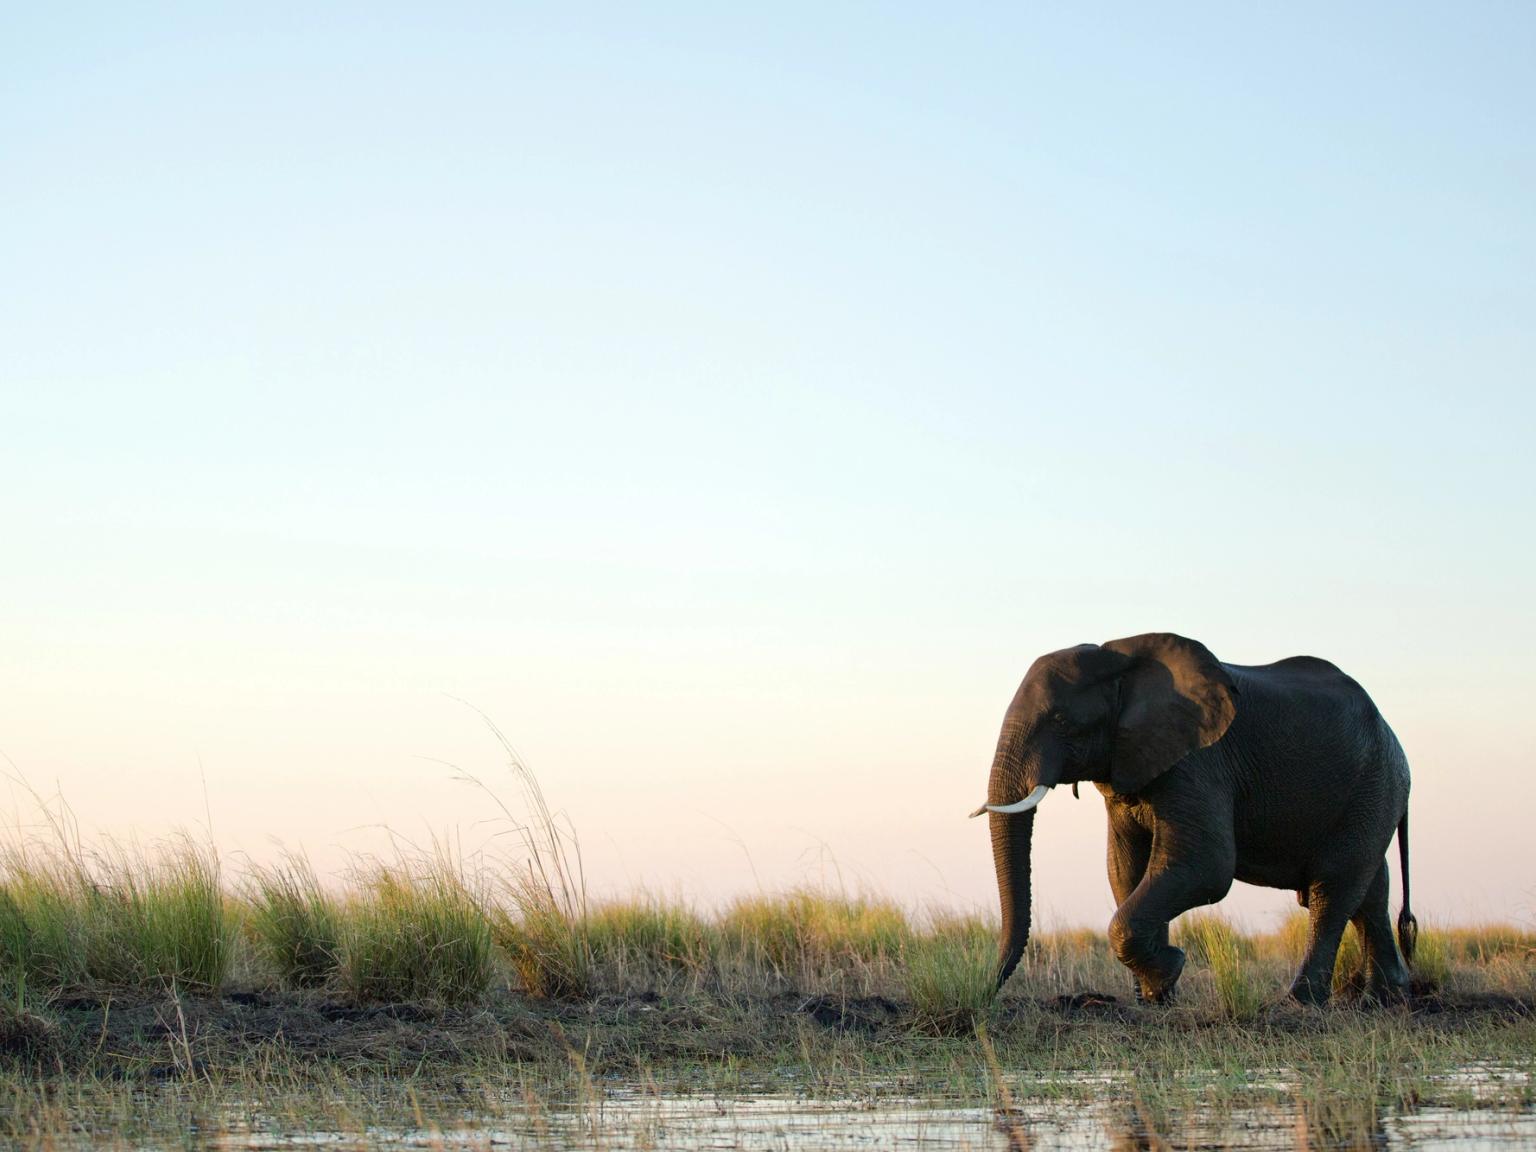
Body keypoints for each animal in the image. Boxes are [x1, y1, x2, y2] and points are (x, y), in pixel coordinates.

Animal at [971, 633, 1417, 1005]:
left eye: (1062, 721)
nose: (988, 991)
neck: (1122, 661)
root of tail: (1394, 736)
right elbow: (1126, 870)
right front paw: (1155, 998)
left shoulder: (1201, 760)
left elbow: (1205, 865)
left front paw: (1169, 968)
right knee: (1369, 890)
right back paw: (1384, 999)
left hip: (1374, 783)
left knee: (1333, 887)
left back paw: (1301, 1002)